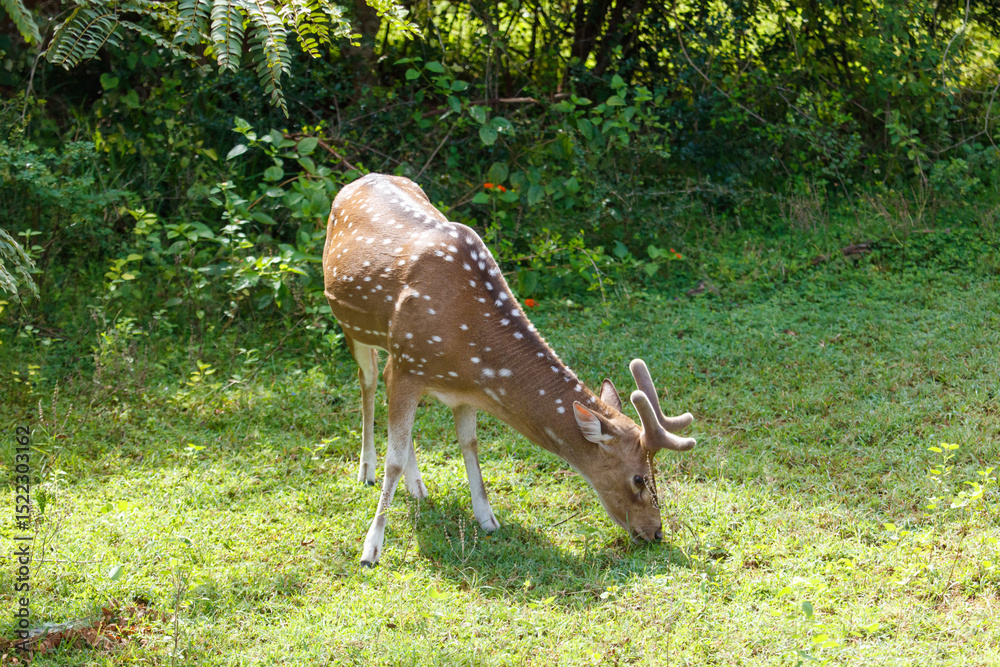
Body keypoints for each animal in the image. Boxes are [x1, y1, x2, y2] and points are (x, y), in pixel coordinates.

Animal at [323, 174, 696, 566]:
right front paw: (371, 548)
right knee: (368, 382)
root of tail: (358, 179)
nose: (655, 532)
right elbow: (393, 460)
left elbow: (469, 444)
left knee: (388, 394)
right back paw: (366, 470)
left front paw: (487, 518)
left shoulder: (458, 388)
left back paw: (418, 486)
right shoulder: (409, 364)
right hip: (355, 328)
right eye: (638, 478)